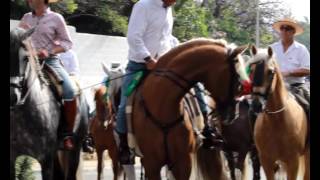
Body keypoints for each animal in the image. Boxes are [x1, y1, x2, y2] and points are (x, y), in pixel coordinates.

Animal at [246, 46, 308, 180]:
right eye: (251, 70)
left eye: (270, 72)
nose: (256, 105)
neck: (277, 121)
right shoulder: (267, 161)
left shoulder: (293, 162)